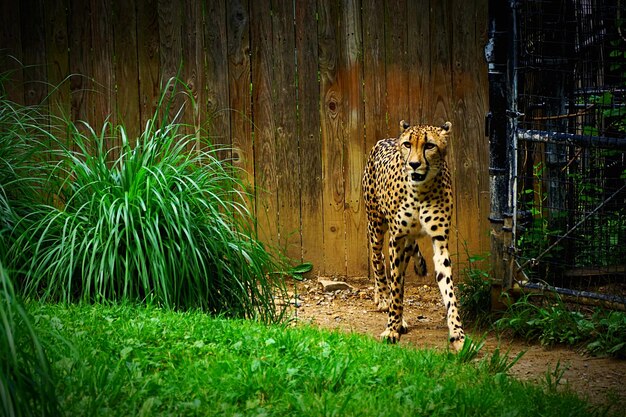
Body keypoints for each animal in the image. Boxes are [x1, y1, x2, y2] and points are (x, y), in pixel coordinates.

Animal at [360, 118, 464, 350]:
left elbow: (449, 291)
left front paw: (458, 334)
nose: (414, 164)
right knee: (378, 259)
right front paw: (392, 328)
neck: (421, 189)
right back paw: (383, 298)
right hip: (376, 225)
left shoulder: (439, 241)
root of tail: (385, 139)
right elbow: (396, 288)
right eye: (408, 144)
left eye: (429, 145)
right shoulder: (396, 239)